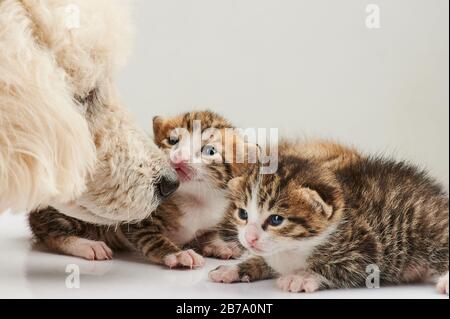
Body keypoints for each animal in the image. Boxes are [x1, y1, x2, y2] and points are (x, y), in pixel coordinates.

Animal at [29, 111, 251, 268]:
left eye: (210, 150)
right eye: (173, 141)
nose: (178, 157)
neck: (196, 198)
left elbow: (210, 233)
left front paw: (220, 245)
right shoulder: (139, 218)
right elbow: (153, 240)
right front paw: (178, 254)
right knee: (50, 234)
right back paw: (87, 245)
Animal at [209, 142, 448, 296]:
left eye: (276, 219)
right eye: (243, 214)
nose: (249, 238)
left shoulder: (369, 249)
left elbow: (339, 266)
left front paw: (302, 276)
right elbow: (262, 259)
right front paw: (234, 269)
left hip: (427, 223)